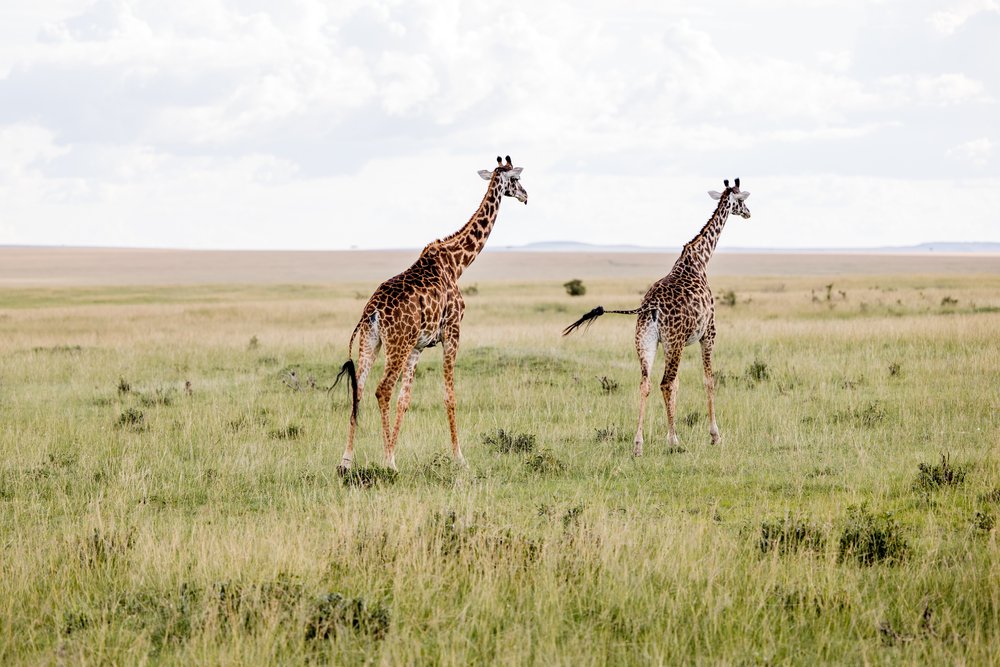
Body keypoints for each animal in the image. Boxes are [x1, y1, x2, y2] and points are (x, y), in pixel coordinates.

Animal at [334, 156, 528, 472]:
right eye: (516, 179)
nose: (526, 196)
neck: (458, 263)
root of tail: (372, 312)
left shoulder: (419, 346)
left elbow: (406, 399)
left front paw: (393, 449)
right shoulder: (452, 332)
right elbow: (449, 395)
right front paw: (459, 458)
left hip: (371, 342)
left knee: (359, 388)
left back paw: (346, 461)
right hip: (396, 344)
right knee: (382, 389)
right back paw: (389, 465)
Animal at [564, 177, 752, 454]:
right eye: (742, 199)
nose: (749, 213)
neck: (700, 259)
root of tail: (649, 308)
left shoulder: (674, 341)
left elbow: (680, 384)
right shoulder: (709, 332)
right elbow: (708, 380)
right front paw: (714, 436)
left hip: (646, 341)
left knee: (646, 383)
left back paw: (638, 444)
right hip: (673, 342)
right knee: (665, 382)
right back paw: (674, 441)